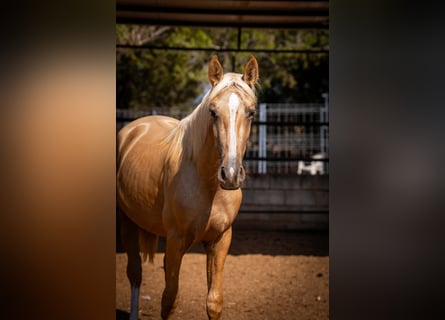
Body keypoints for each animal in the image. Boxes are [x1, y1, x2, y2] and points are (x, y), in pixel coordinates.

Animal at [116, 56, 258, 318]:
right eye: (213, 112)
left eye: (251, 112)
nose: (231, 175)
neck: (208, 185)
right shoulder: (176, 242)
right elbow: (169, 300)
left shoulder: (220, 240)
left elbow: (214, 301)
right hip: (128, 222)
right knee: (135, 273)